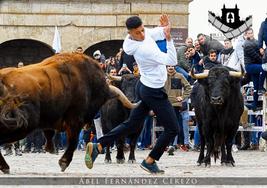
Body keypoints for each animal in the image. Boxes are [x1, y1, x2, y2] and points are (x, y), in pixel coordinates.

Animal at [0, 52, 139, 173]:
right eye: (102, 100)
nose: (90, 124)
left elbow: (51, 133)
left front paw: (51, 149)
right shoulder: (75, 120)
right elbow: (73, 141)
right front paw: (64, 162)